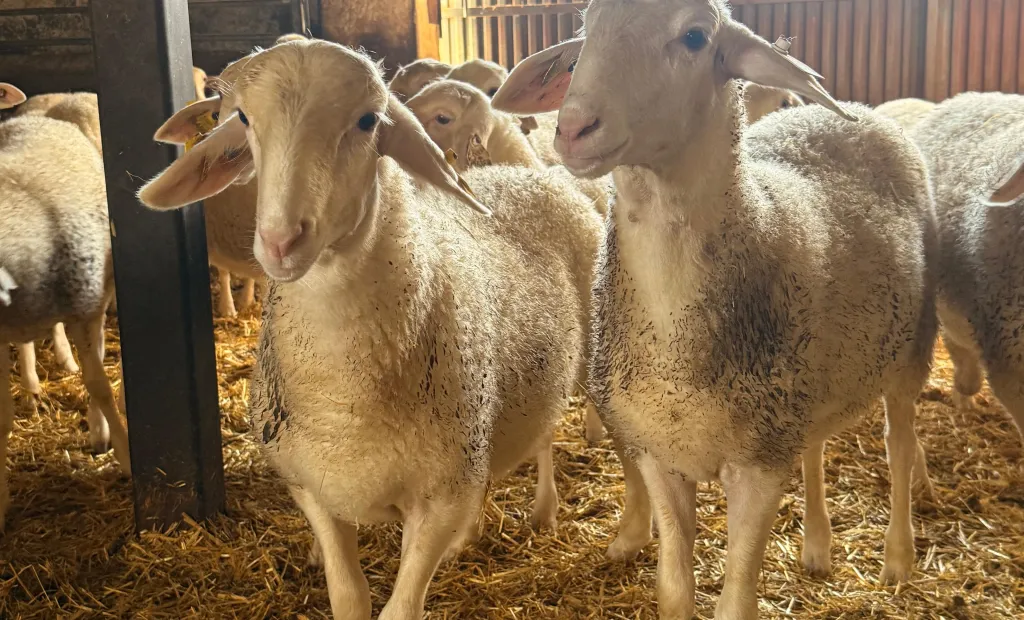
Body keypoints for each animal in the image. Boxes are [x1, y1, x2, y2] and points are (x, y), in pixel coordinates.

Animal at [1, 116, 131, 532]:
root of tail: (36, 118)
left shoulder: (84, 311)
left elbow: (100, 386)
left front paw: (125, 455)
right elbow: (2, 415)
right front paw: (0, 501)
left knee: (98, 361)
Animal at [137, 39, 604, 619]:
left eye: (367, 121)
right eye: (242, 118)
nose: (281, 240)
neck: (344, 401)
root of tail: (529, 176)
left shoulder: (440, 499)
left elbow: (399, 609)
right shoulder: (313, 488)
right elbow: (350, 598)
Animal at [494, 3, 938, 617]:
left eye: (694, 37)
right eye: (583, 38)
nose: (574, 128)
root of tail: (863, 116)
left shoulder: (758, 468)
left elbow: (734, 602)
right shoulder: (662, 455)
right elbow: (676, 592)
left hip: (910, 351)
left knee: (899, 448)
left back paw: (898, 557)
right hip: (807, 378)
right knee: (817, 446)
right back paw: (817, 544)